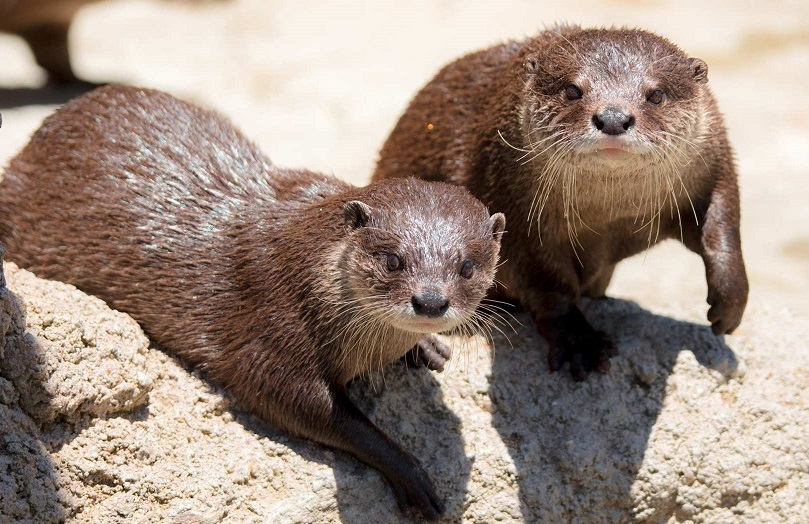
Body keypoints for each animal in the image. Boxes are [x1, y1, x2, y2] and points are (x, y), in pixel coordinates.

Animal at [0, 86, 504, 520]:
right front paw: (410, 471)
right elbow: (302, 404)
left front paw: (427, 347)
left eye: (467, 266)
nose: (431, 302)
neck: (305, 269)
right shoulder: (274, 324)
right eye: (394, 259)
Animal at [376, 26, 748, 380]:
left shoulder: (713, 160)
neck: (607, 217)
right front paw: (580, 343)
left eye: (656, 94)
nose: (614, 118)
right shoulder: (511, 203)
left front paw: (728, 305)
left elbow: (722, 224)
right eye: (572, 90)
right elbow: (547, 283)